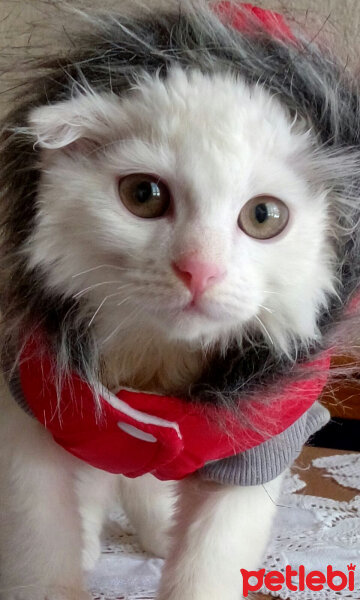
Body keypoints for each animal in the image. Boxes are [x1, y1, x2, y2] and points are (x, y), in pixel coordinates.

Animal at [0, 1, 360, 600]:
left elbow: (206, 566)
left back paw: (157, 536)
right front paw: (67, 568)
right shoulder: (34, 408)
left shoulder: (258, 440)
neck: (155, 372)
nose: (199, 269)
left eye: (264, 216)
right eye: (143, 196)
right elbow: (41, 551)